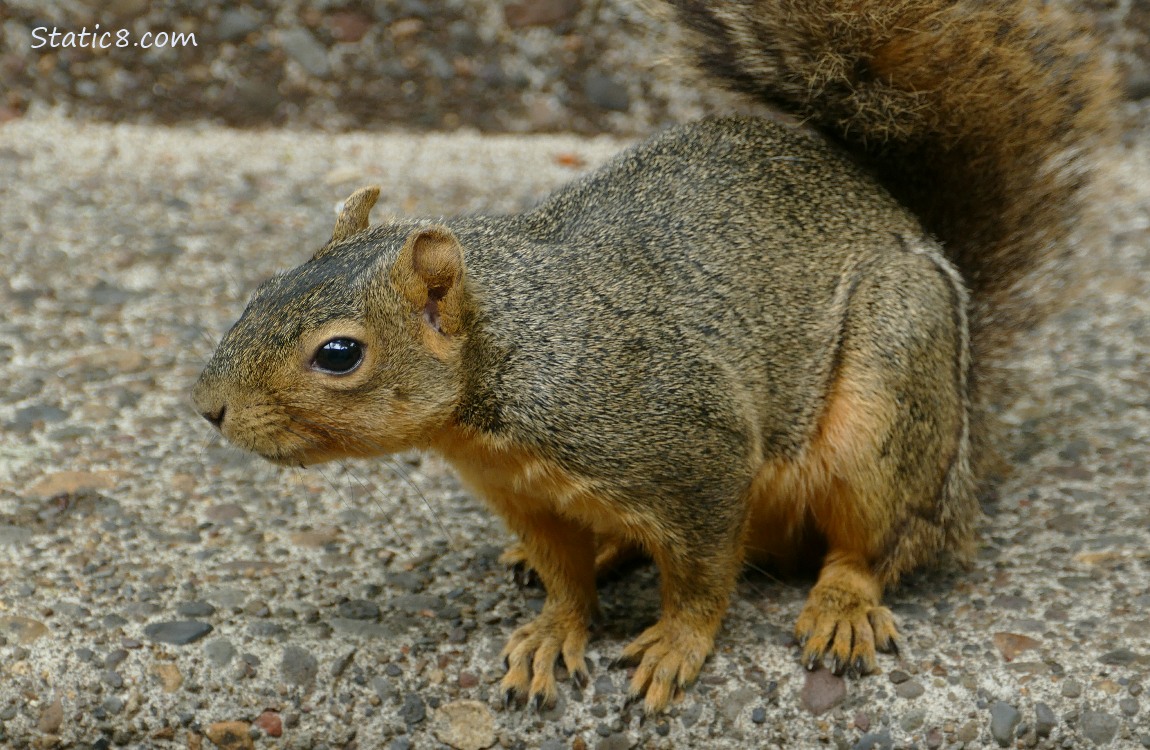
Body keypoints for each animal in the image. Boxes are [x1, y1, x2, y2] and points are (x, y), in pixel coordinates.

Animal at [190, 0, 1113, 713]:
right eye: (263, 287)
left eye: (340, 354)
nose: (208, 408)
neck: (518, 357)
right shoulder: (531, 498)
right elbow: (564, 576)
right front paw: (554, 632)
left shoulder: (693, 452)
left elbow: (703, 578)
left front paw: (674, 646)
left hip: (887, 401)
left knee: (881, 541)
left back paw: (843, 605)